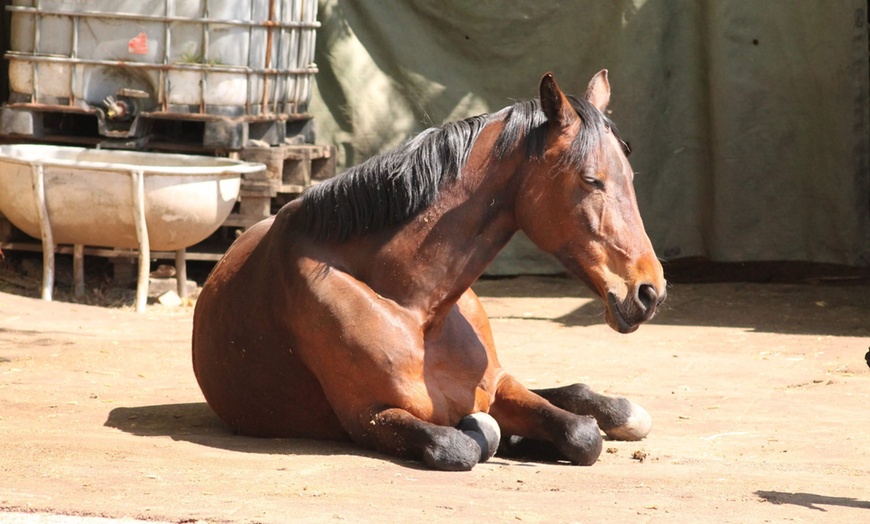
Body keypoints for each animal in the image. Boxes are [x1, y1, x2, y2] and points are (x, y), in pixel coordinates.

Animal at [192, 70, 668, 470]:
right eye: (591, 179)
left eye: (629, 176)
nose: (649, 291)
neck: (415, 308)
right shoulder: (369, 416)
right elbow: (459, 444)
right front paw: (496, 435)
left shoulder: (497, 385)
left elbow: (580, 433)